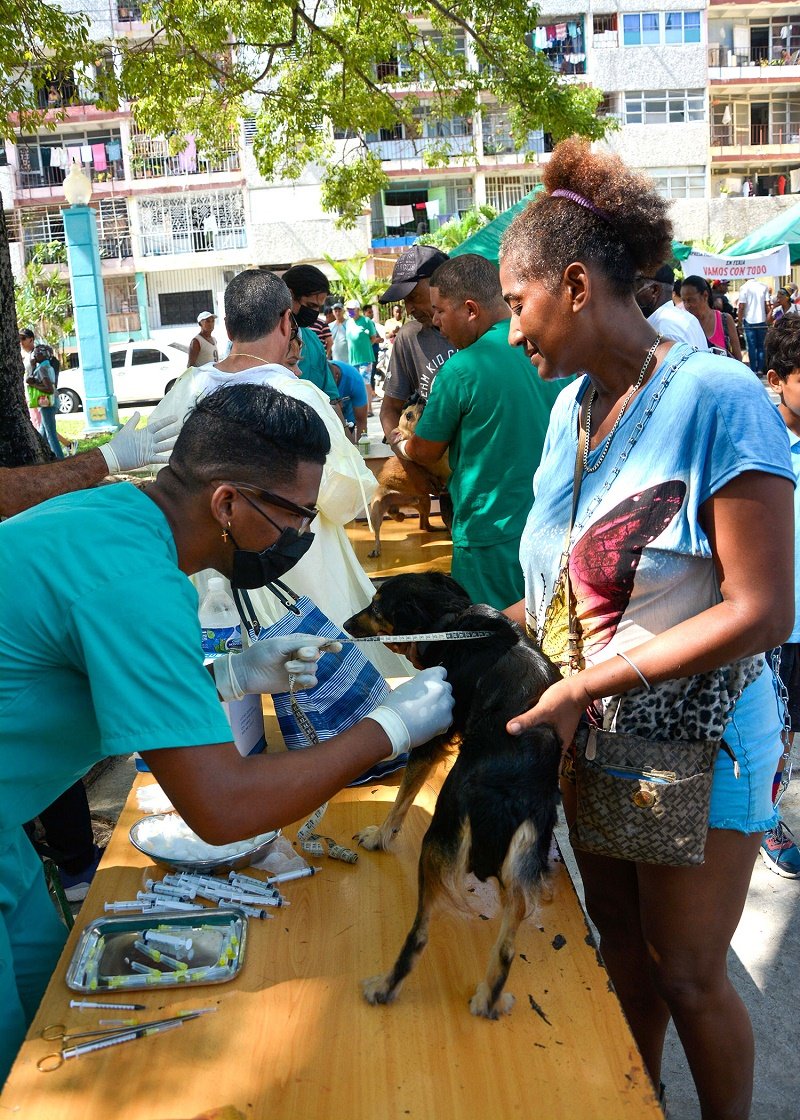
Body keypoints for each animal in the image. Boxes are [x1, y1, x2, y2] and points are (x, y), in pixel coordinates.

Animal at [342, 573, 560, 1021]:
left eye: (377, 606)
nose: (344, 624)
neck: (451, 617)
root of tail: (508, 793)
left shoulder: (433, 736)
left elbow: (402, 796)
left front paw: (380, 836)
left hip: (437, 844)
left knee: (419, 936)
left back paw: (384, 988)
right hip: (523, 869)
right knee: (507, 947)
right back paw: (489, 999)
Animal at [365, 394, 448, 560]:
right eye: (408, 415)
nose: (419, 398)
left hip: (425, 501)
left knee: (424, 525)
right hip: (376, 512)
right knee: (377, 534)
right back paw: (376, 548)